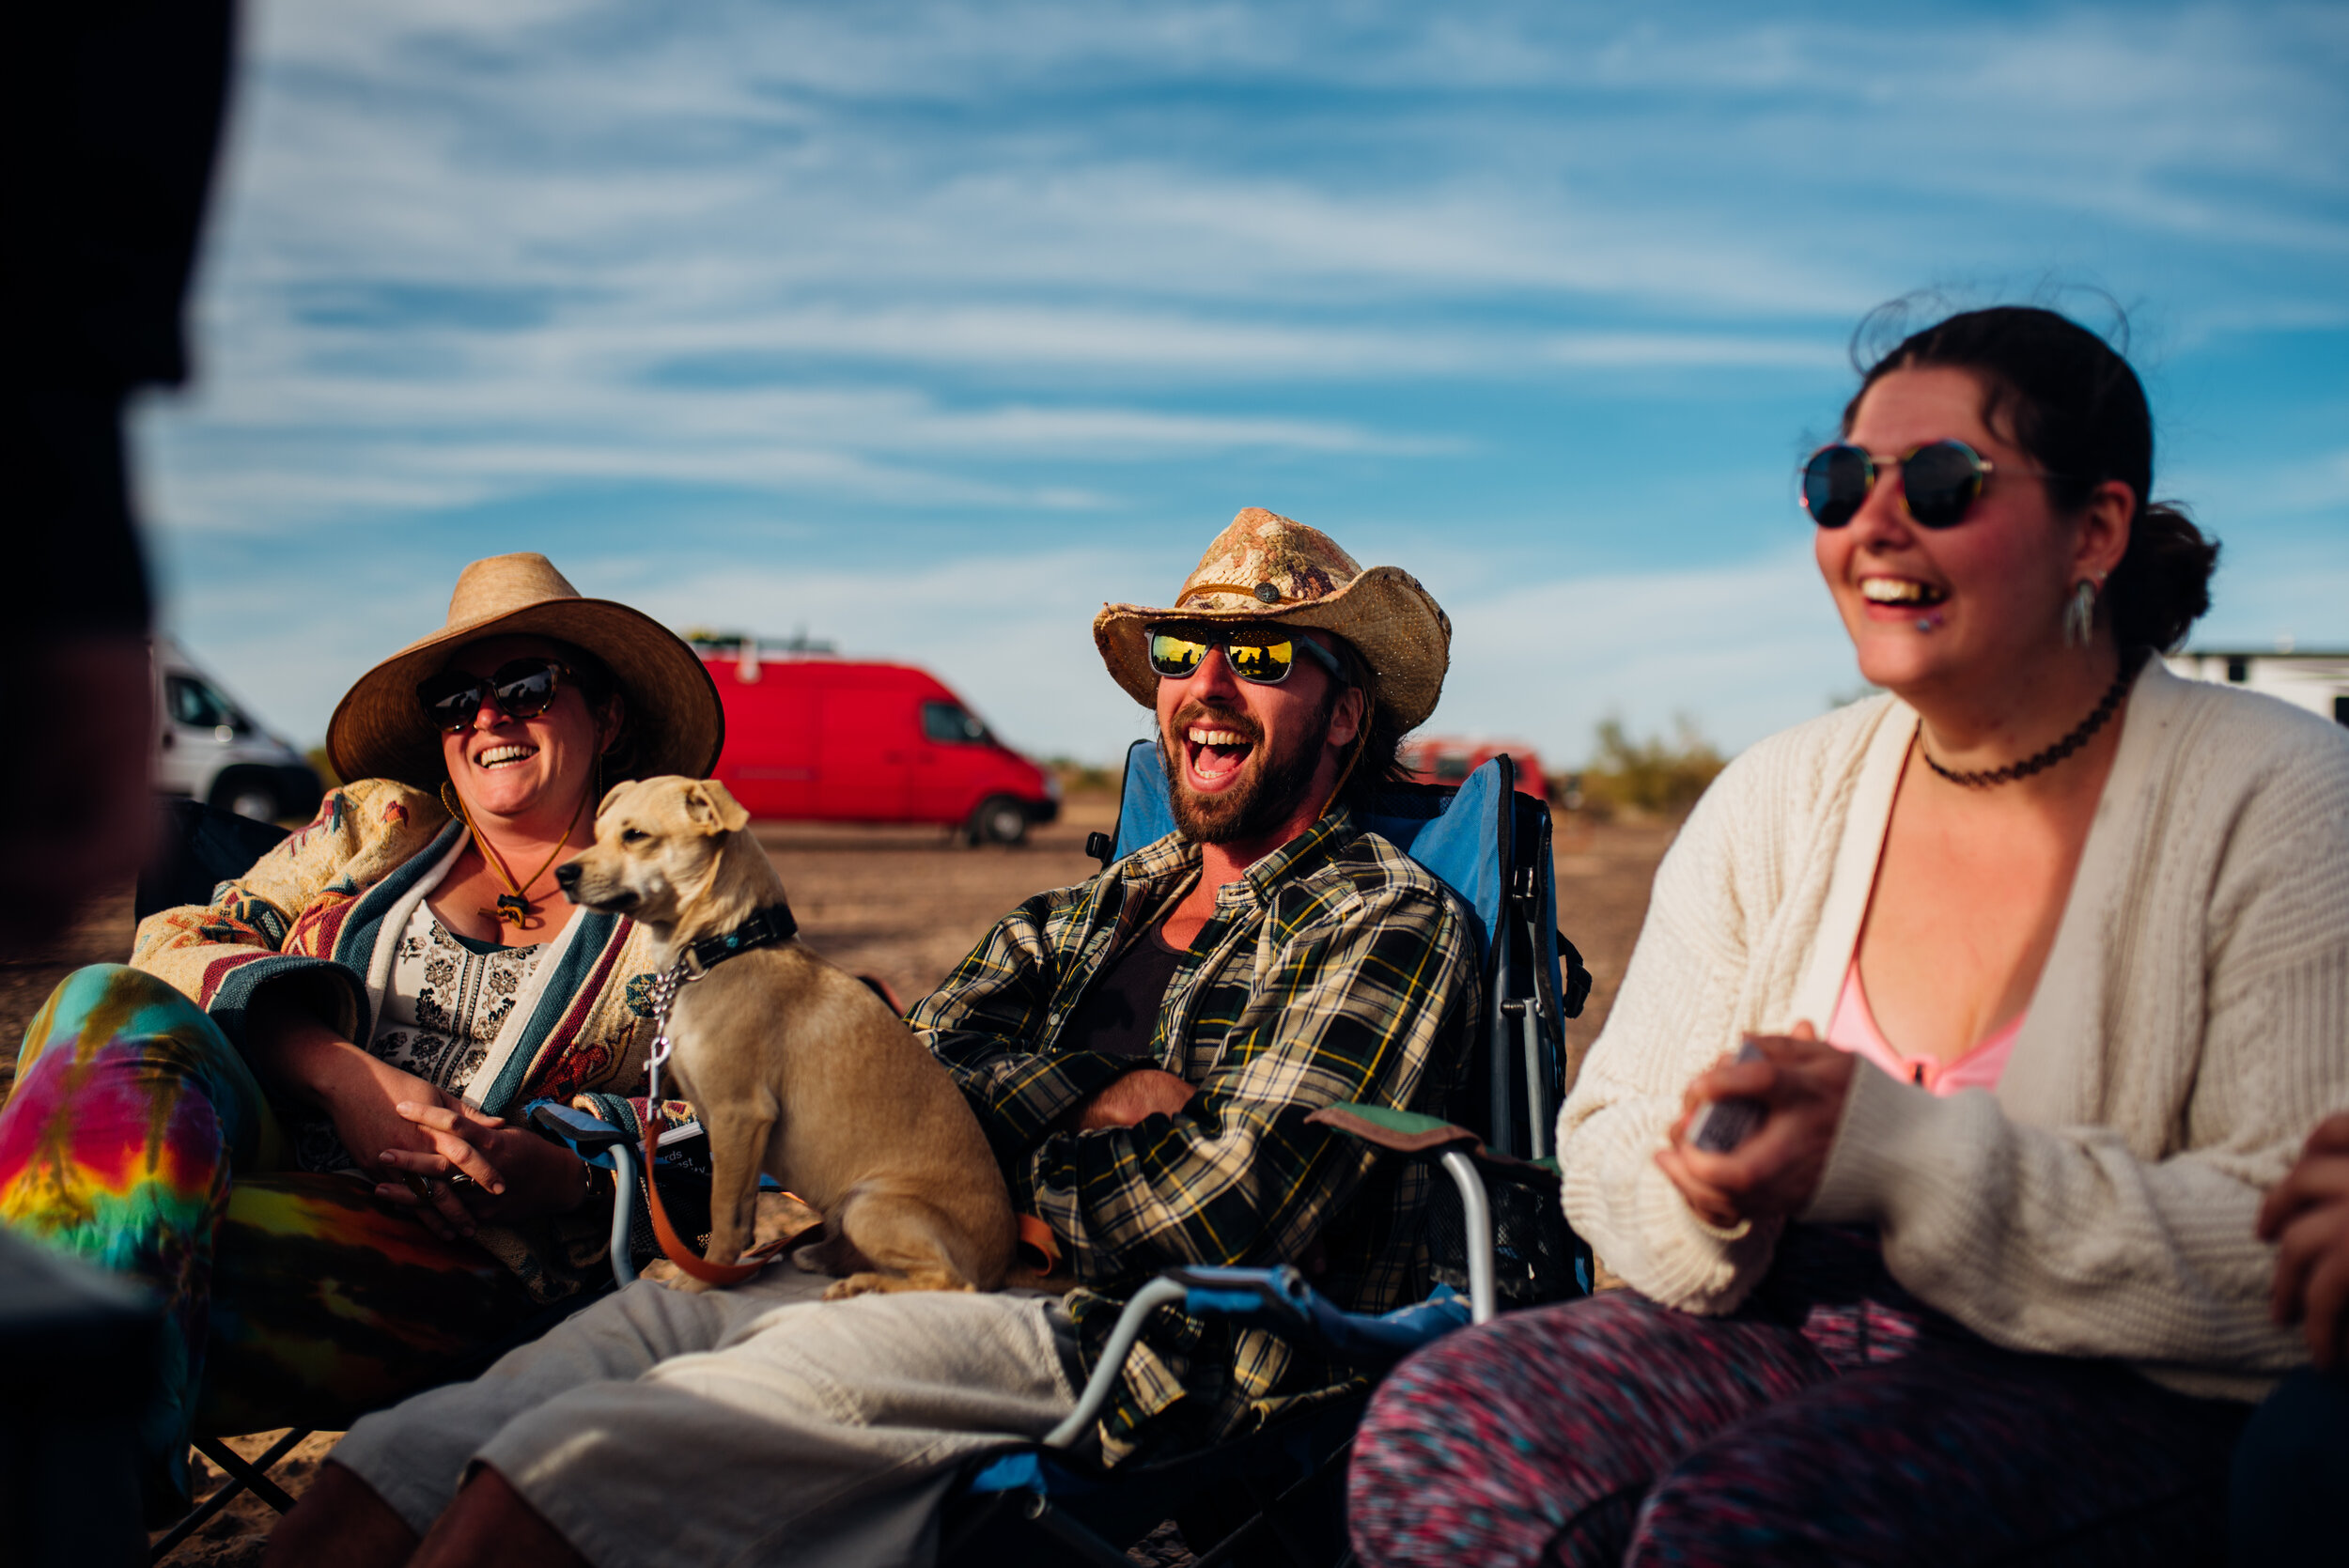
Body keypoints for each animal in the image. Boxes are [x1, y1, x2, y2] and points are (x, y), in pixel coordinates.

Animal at [568, 774, 1019, 1296]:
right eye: (597, 834)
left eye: (636, 836)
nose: (563, 874)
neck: (726, 948)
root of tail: (1004, 1266)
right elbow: (739, 1211)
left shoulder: (740, 1113)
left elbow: (726, 1214)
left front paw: (704, 1280)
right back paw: (823, 1256)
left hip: (871, 1206)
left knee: (951, 1282)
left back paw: (860, 1283)